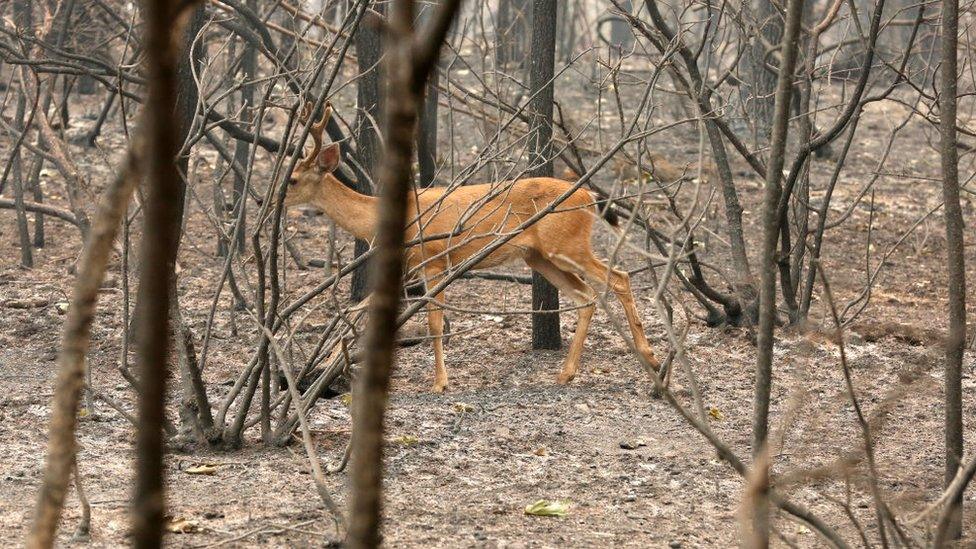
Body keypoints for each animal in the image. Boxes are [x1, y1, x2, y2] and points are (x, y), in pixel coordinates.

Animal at [284, 103, 664, 392]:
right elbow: (360, 310)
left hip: (567, 244)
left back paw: (651, 357)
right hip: (539, 257)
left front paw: (440, 383)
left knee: (619, 277)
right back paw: (566, 373)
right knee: (587, 296)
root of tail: (588, 195)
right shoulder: (406, 267)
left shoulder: (435, 262)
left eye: (293, 180)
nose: (273, 200)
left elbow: (434, 324)